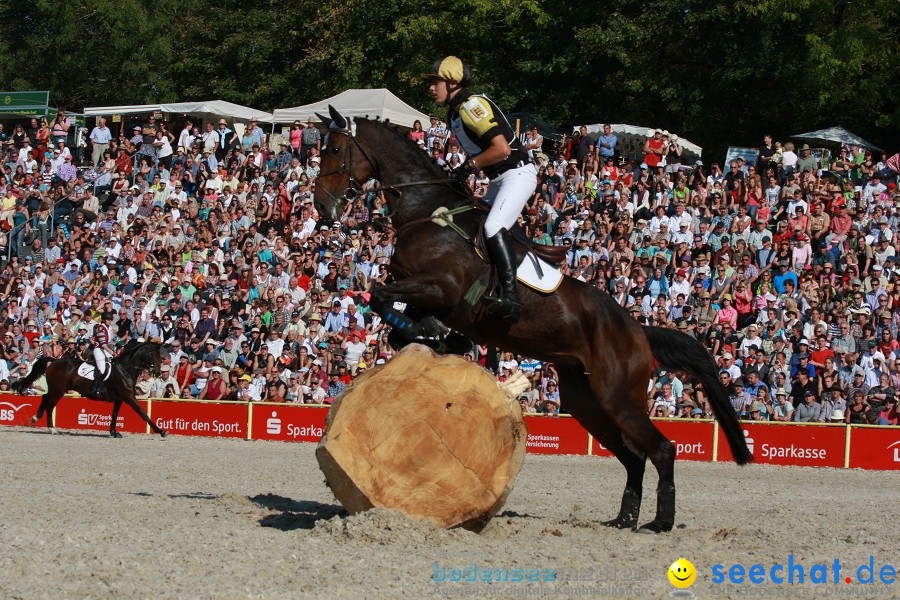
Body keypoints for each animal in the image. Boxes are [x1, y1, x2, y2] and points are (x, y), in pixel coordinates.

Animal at [13, 342, 169, 436]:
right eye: (154, 355)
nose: (158, 372)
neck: (125, 369)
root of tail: (55, 360)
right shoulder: (129, 397)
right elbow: (143, 413)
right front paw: (161, 431)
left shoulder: (120, 398)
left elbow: (115, 414)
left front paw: (114, 432)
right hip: (58, 390)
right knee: (50, 405)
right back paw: (52, 428)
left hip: (56, 390)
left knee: (45, 398)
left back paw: (36, 418)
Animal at [316, 109, 752, 536]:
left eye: (335, 149)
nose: (322, 208)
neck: (428, 211)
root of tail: (637, 330)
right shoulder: (426, 295)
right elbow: (397, 322)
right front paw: (443, 340)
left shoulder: (442, 288)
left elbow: (379, 296)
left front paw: (440, 338)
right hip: (586, 401)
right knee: (632, 457)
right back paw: (624, 518)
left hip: (619, 396)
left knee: (661, 450)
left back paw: (659, 522)